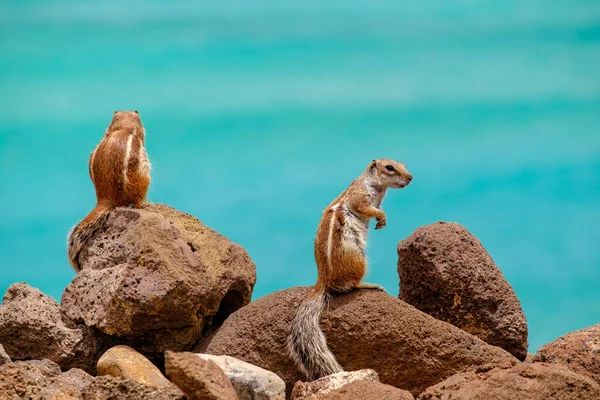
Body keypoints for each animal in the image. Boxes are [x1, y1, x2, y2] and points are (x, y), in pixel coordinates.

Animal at [288, 157, 410, 382]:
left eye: (403, 165)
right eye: (389, 167)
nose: (410, 177)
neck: (377, 187)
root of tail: (322, 281)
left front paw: (382, 221)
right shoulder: (360, 197)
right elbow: (366, 208)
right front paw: (381, 216)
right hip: (357, 259)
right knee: (350, 286)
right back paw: (369, 285)